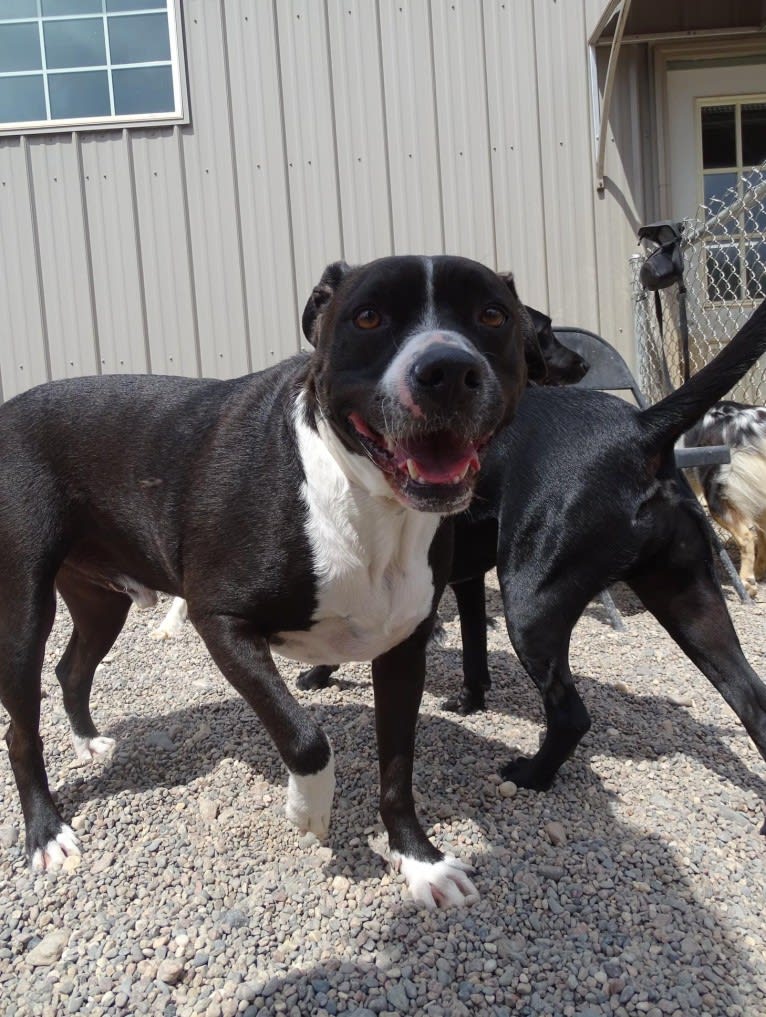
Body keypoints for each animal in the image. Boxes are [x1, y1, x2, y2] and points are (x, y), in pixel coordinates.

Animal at [0, 254, 524, 907]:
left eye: (493, 315)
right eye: (368, 316)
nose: (448, 370)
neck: (365, 505)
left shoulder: (404, 650)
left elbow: (398, 768)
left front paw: (420, 860)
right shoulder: (222, 622)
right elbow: (305, 736)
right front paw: (308, 813)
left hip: (100, 601)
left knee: (72, 667)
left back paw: (89, 743)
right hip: (24, 609)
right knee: (21, 727)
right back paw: (46, 834)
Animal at [301, 296, 764, 813]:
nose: (580, 364)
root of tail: (641, 428)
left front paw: (319, 672)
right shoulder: (463, 582)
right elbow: (474, 646)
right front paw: (471, 700)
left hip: (531, 606)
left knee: (572, 716)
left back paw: (532, 775)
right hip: (690, 602)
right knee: (751, 698)